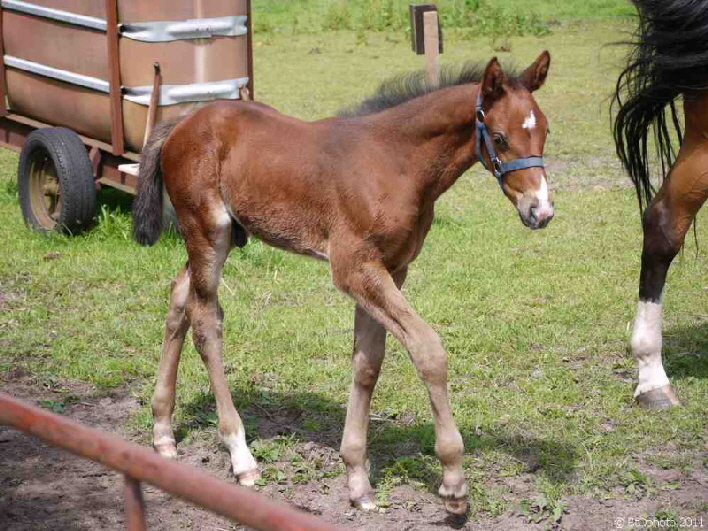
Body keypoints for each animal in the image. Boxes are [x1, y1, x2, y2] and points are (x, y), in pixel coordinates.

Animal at [131, 54, 552, 516]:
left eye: (545, 131)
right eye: (499, 136)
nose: (541, 210)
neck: (396, 162)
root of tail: (182, 122)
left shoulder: (392, 269)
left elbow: (368, 362)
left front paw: (357, 479)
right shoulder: (354, 269)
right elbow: (428, 350)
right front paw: (454, 483)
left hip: (215, 239)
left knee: (179, 295)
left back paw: (162, 430)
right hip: (208, 231)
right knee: (207, 322)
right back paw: (241, 456)